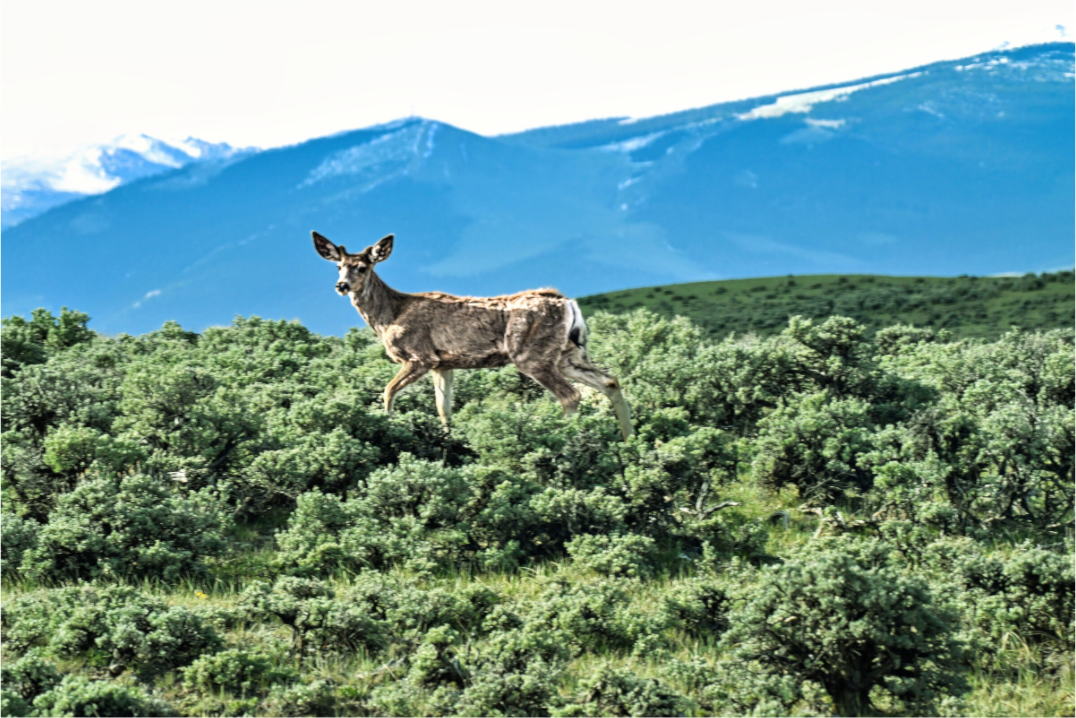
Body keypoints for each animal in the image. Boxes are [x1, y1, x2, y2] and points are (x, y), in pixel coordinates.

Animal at [312, 231, 633, 440]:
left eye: (362, 267)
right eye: (338, 266)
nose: (341, 286)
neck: (390, 315)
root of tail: (568, 303)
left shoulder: (420, 356)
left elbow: (388, 390)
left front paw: (388, 427)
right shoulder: (443, 364)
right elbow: (444, 409)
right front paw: (449, 443)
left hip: (532, 354)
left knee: (571, 395)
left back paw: (562, 436)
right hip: (568, 353)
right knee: (609, 381)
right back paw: (628, 442)